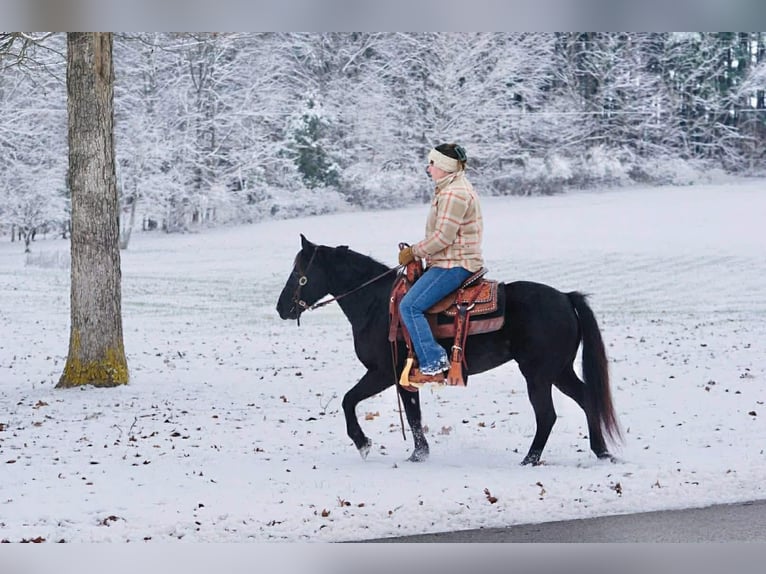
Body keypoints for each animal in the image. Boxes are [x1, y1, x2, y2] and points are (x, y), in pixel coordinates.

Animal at [276, 234, 622, 465]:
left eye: (298, 273)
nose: (281, 308)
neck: (376, 305)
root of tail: (565, 297)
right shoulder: (404, 377)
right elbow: (413, 415)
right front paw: (419, 454)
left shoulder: (382, 373)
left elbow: (349, 400)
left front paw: (363, 443)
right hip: (559, 371)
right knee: (588, 399)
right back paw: (602, 452)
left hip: (538, 375)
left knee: (547, 415)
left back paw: (530, 459)